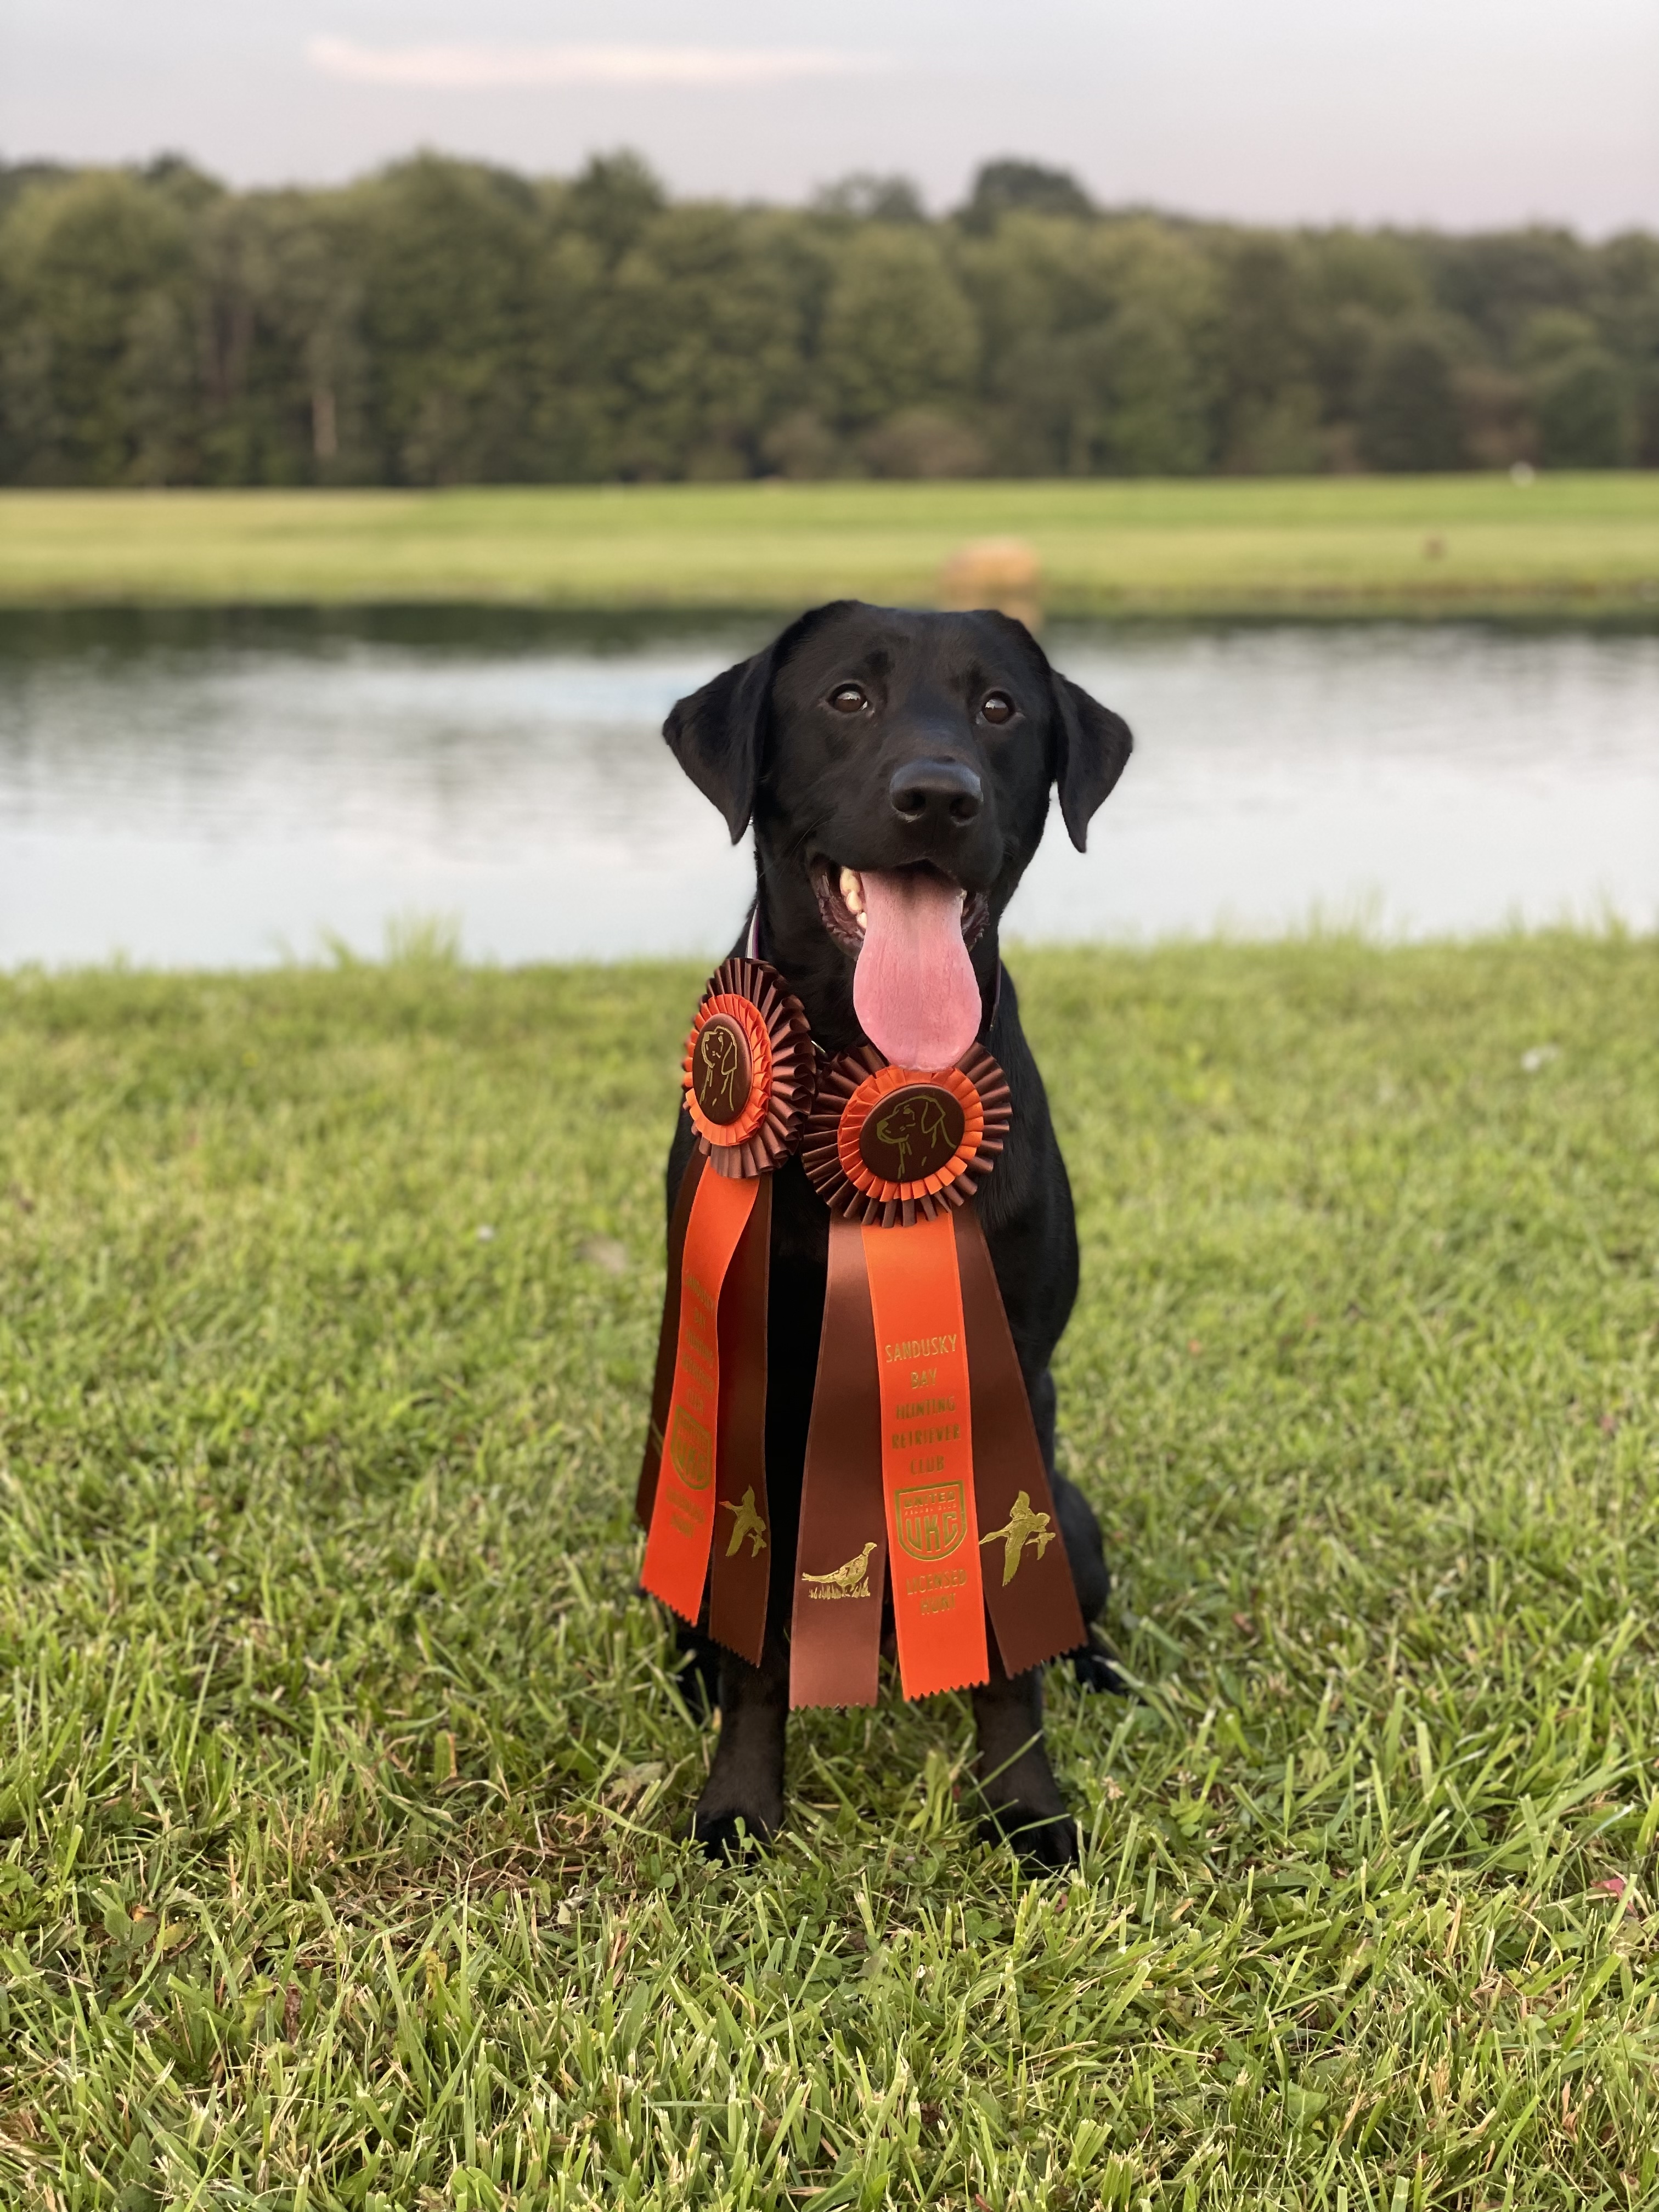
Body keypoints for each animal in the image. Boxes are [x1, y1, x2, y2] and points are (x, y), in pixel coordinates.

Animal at [654, 601, 1141, 1867]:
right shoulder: (751, 1387)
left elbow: (1006, 1646)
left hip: (1069, 1509)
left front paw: (1025, 1809)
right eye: (846, 698)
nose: (937, 796)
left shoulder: (1006, 1382)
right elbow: (759, 1660)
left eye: (999, 708)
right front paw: (740, 1809)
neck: (867, 1067)